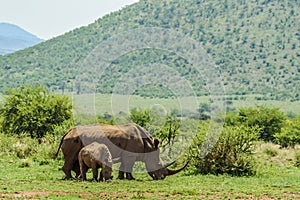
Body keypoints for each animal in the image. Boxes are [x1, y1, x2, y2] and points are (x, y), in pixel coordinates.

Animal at [55, 122, 188, 180]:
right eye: (158, 164)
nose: (161, 178)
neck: (149, 146)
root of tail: (67, 132)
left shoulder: (126, 153)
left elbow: (124, 166)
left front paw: (121, 178)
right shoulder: (130, 155)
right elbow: (129, 166)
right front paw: (131, 178)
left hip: (75, 139)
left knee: (75, 160)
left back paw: (77, 177)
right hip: (73, 140)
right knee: (71, 158)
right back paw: (70, 178)